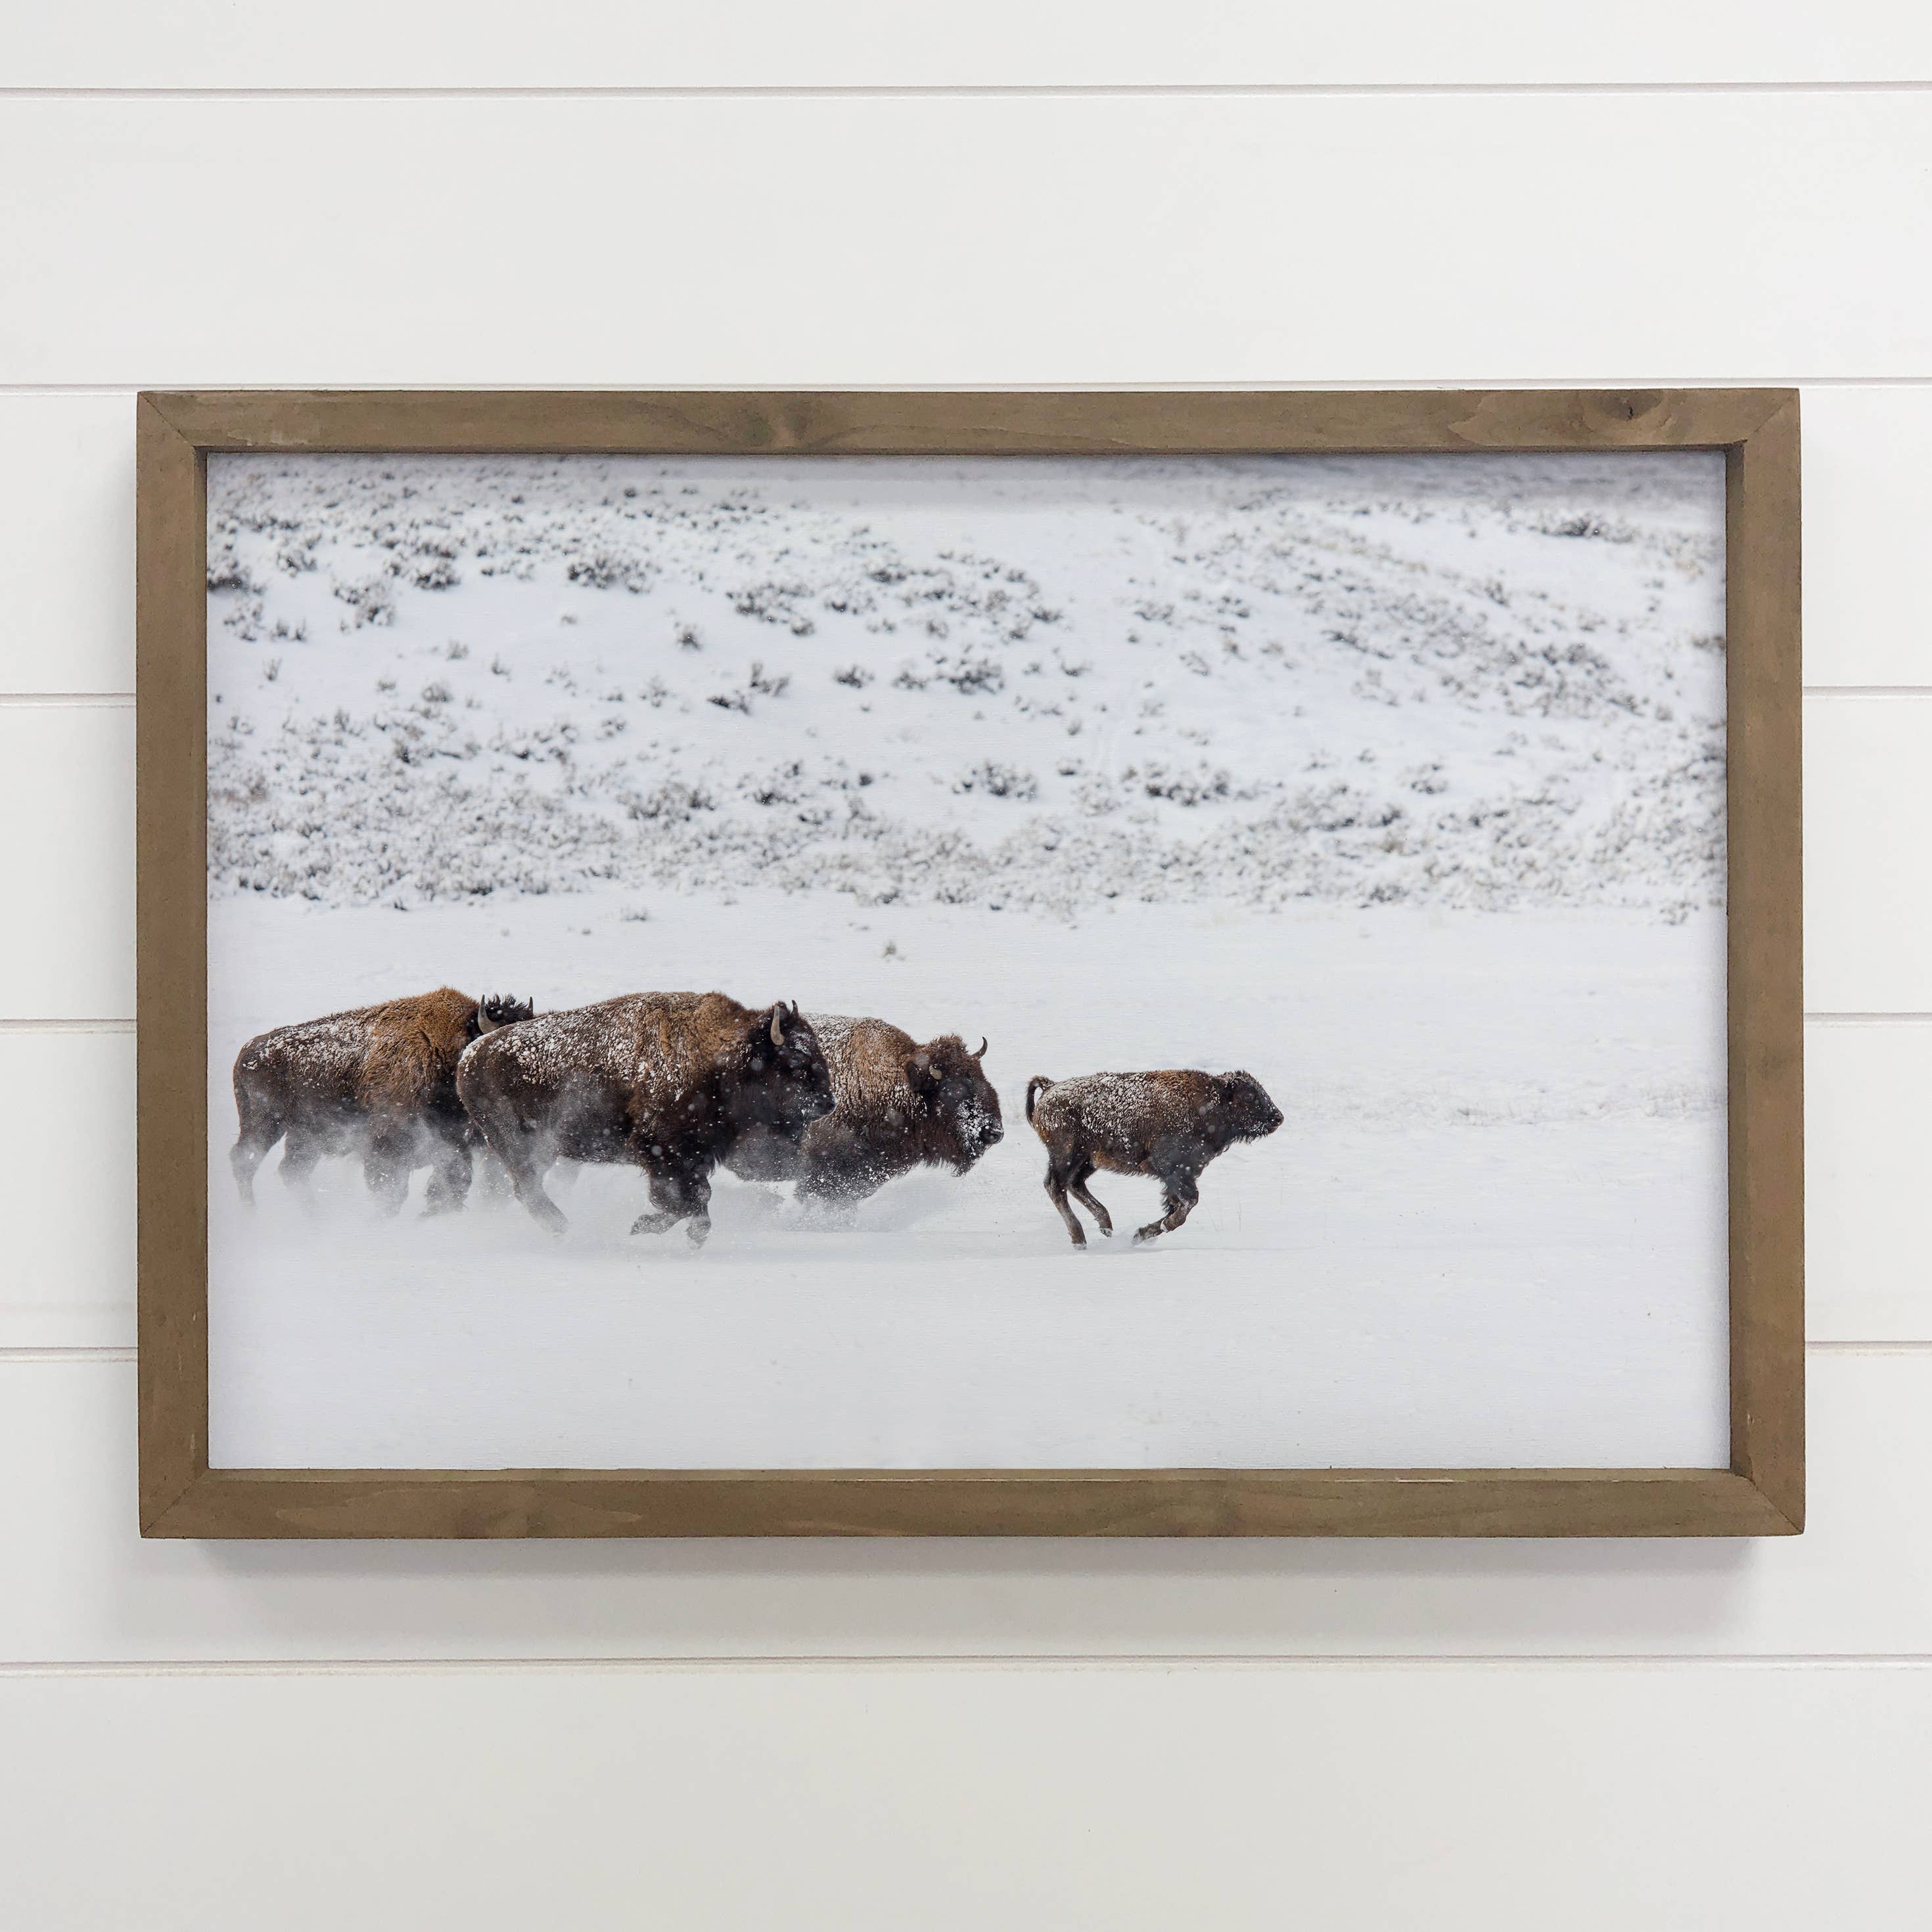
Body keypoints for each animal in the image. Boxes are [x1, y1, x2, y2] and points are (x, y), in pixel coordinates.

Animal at [231, 989, 537, 1213]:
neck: (445, 1055)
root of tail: (248, 1050)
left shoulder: (451, 1144)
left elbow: (451, 1185)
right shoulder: (388, 1146)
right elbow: (391, 1190)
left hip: (305, 1136)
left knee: (292, 1171)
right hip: (264, 1123)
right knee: (245, 1161)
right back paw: (252, 1214)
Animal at [463, 989, 842, 1244]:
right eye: (796, 1061)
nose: (829, 1103)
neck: (724, 1060)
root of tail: (471, 1055)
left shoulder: (695, 1155)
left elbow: (696, 1199)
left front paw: (671, 1232)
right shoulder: (665, 1151)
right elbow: (687, 1200)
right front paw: (644, 1228)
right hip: (518, 1145)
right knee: (527, 1188)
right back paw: (564, 1228)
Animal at [1028, 1066, 1283, 1244]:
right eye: (1249, 1096)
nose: (1277, 1118)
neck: (1211, 1103)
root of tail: (1050, 1089)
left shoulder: (1182, 1175)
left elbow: (1178, 1205)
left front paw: (1140, 1235)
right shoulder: (1173, 1170)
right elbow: (1187, 1205)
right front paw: (1146, 1233)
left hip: (1088, 1160)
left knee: (1074, 1184)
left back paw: (1106, 1226)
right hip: (1067, 1155)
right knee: (1056, 1186)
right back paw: (1080, 1239)